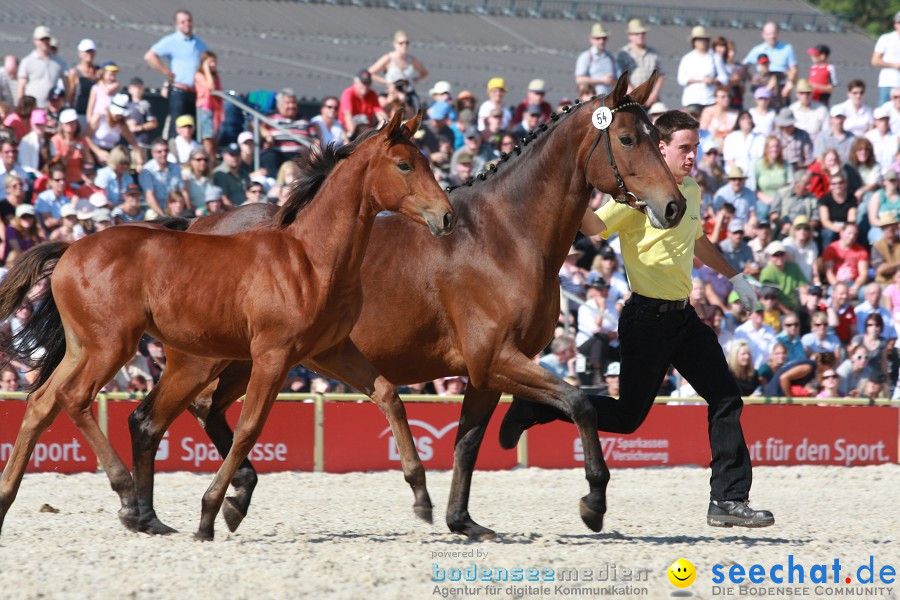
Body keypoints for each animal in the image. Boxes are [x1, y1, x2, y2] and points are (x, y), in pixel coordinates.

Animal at [0, 111, 454, 540]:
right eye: (404, 165)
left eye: (426, 162)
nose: (446, 217)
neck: (310, 258)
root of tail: (71, 248)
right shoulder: (274, 356)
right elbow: (248, 429)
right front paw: (212, 513)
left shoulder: (332, 350)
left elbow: (388, 394)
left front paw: (421, 495)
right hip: (117, 346)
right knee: (76, 398)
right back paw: (128, 498)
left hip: (85, 347)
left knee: (42, 403)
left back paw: (16, 500)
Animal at [121, 70, 684, 540]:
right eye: (627, 138)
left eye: (657, 138)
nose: (674, 205)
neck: (507, 235)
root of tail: (195, 224)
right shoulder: (497, 358)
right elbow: (580, 402)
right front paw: (593, 502)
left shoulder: (484, 371)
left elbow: (467, 442)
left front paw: (463, 521)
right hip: (209, 360)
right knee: (153, 420)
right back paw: (154, 511)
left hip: (246, 361)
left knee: (205, 411)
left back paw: (218, 498)